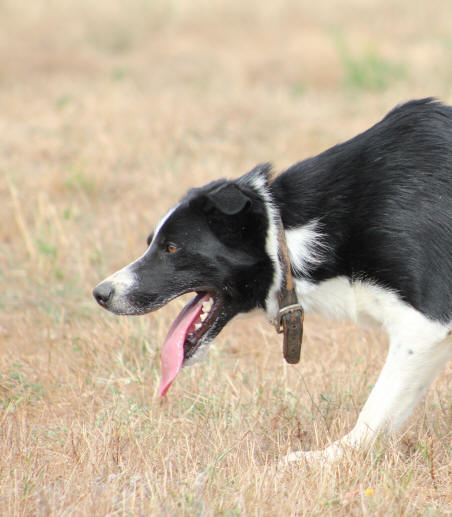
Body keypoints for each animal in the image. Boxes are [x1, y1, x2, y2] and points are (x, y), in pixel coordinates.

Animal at [92, 99, 452, 462]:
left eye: (172, 247)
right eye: (152, 242)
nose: (100, 293)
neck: (287, 236)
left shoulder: (423, 327)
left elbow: (375, 412)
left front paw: (323, 460)